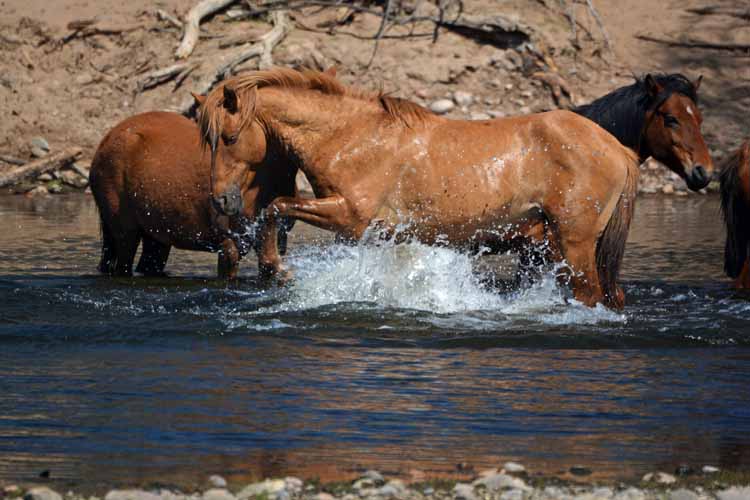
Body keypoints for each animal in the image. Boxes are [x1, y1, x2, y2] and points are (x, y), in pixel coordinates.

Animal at [89, 110, 296, 280]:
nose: (225, 201)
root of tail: (106, 139)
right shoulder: (229, 245)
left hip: (156, 233)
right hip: (125, 231)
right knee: (122, 266)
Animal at [195, 66, 640, 308]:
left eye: (229, 137)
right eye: (210, 140)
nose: (221, 199)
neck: (349, 137)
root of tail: (617, 148)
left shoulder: (350, 218)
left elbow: (276, 206)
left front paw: (278, 268)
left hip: (574, 242)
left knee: (589, 294)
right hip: (547, 245)